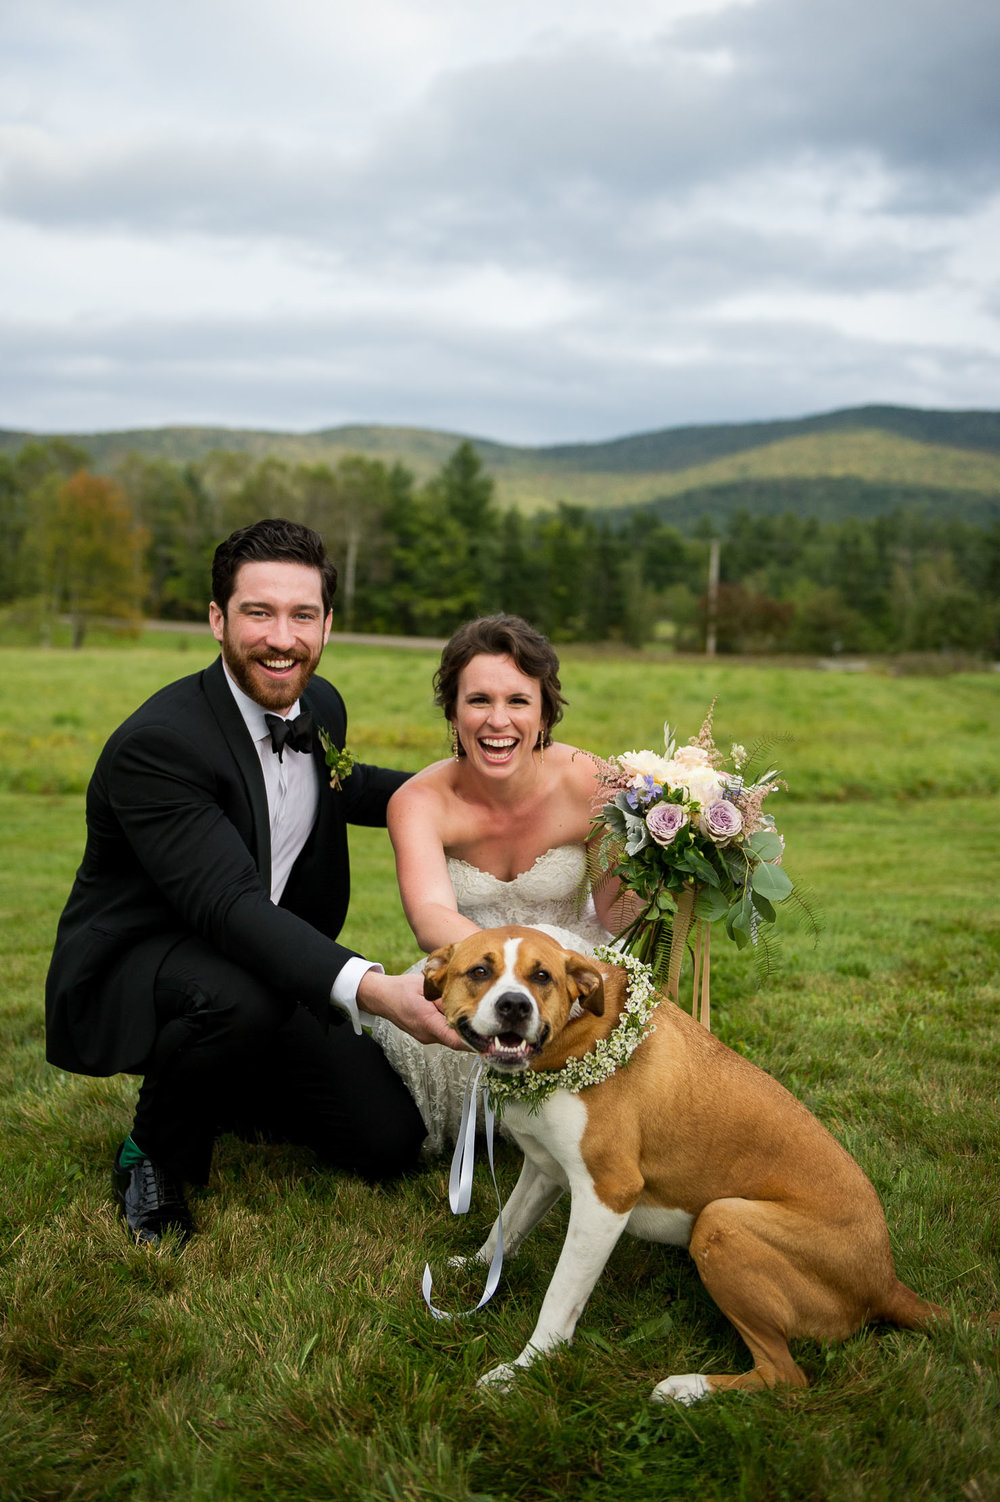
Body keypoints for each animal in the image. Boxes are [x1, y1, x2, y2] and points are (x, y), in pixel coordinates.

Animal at [420, 919, 942, 1399]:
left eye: (541, 976)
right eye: (480, 971)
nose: (515, 1005)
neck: (572, 1036)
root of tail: (887, 1281)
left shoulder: (608, 1195)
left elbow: (560, 1295)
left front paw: (523, 1369)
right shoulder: (544, 1169)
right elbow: (506, 1223)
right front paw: (476, 1267)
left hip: (721, 1220)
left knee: (786, 1377)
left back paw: (686, 1389)